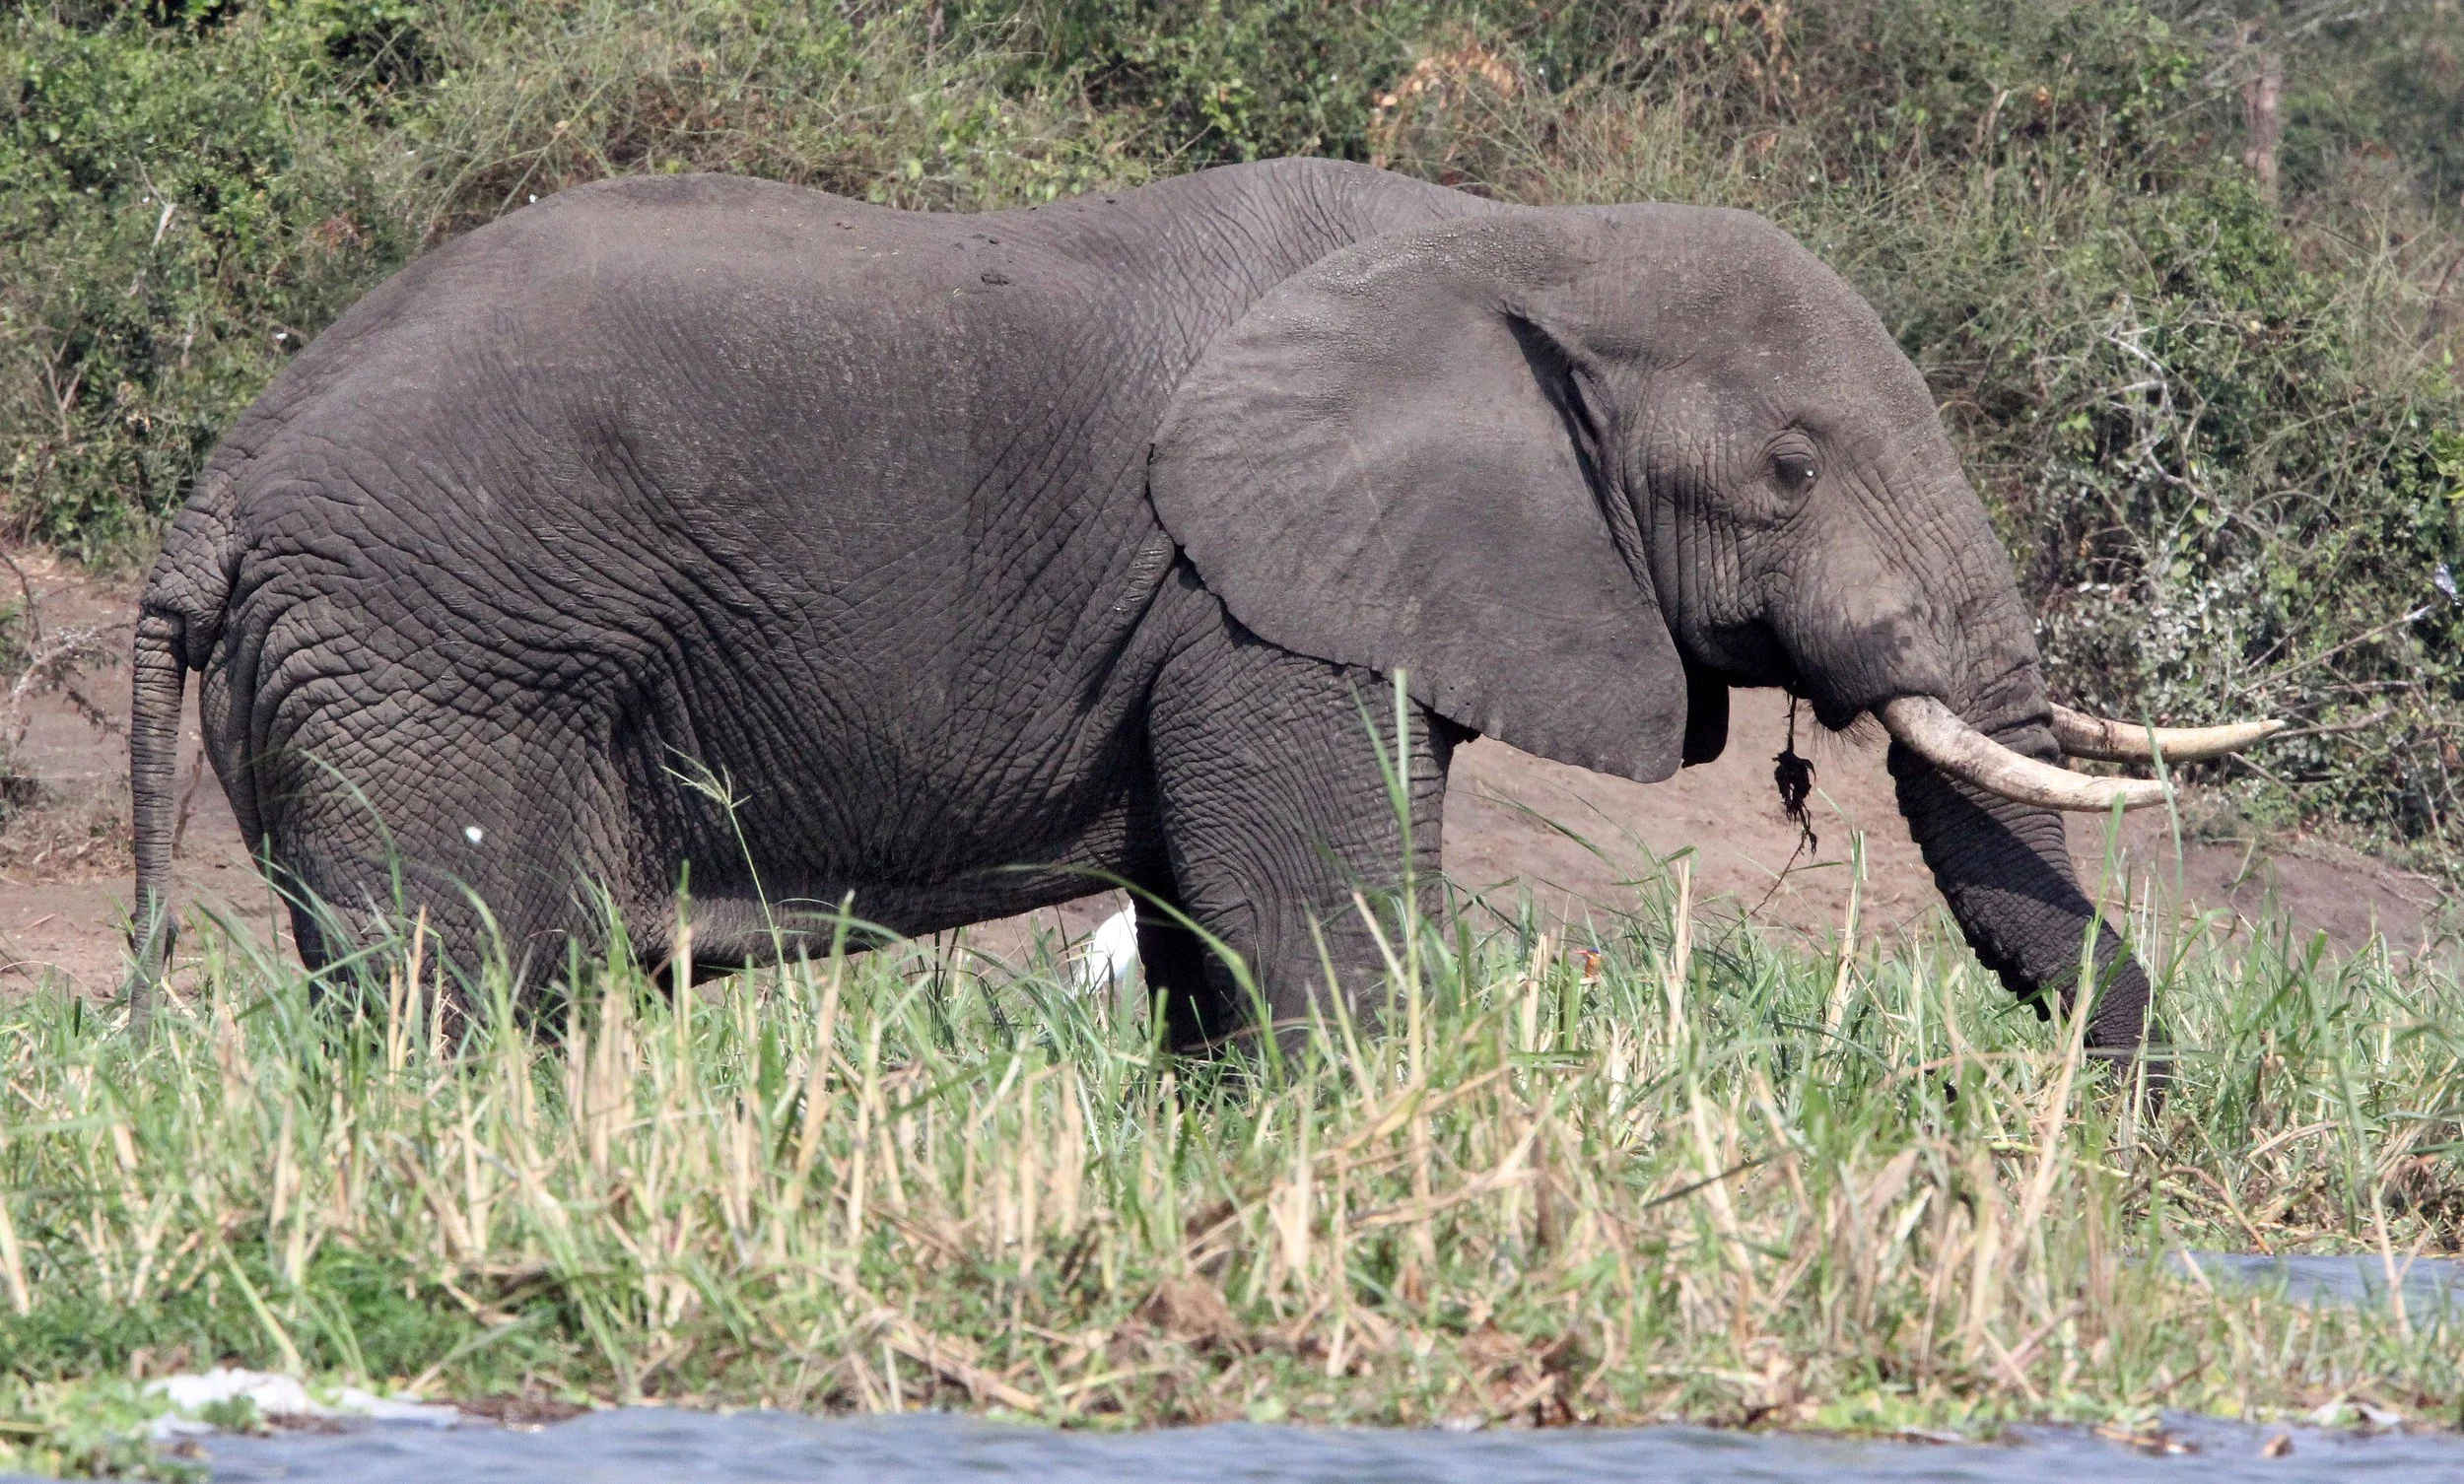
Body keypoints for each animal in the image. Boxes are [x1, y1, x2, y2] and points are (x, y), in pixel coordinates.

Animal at [127, 157, 2278, 1052]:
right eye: (1789, 472)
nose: (2132, 1168)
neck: (1512, 234)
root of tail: (215, 486)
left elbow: (1212, 944)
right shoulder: (1242, 601)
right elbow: (1314, 927)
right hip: (435, 650)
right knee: (460, 995)